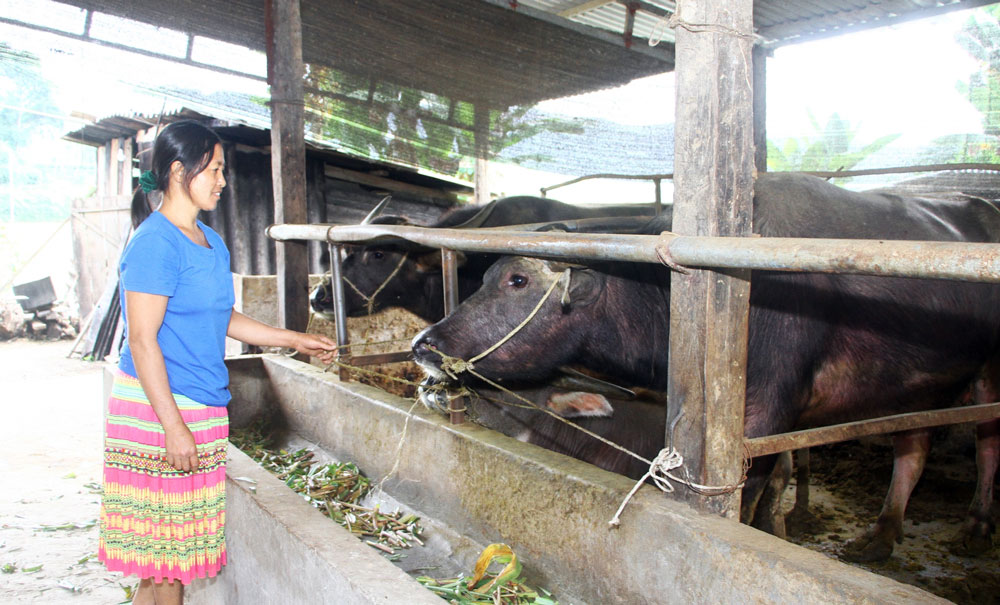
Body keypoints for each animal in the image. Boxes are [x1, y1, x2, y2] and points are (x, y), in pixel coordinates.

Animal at [412, 171, 1000, 560]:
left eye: (518, 280)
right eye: (486, 277)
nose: (423, 345)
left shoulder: (762, 414)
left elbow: (757, 486)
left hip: (987, 374)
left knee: (985, 441)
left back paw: (974, 526)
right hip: (920, 383)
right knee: (914, 445)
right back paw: (881, 534)